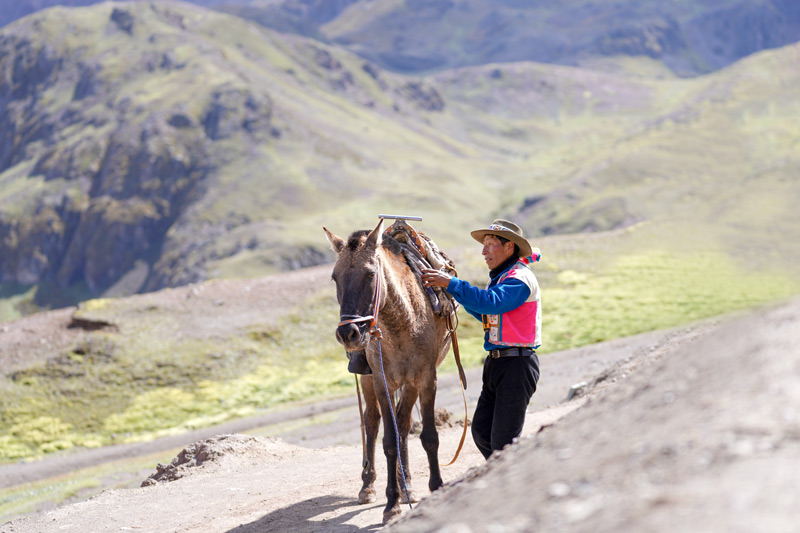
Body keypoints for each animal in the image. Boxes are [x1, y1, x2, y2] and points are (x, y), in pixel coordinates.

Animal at [323, 219, 453, 524]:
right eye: (335, 277)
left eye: (371, 274)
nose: (348, 333)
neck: (401, 323)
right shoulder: (382, 381)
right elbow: (388, 440)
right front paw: (391, 504)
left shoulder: (425, 379)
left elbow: (428, 436)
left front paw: (435, 487)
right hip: (369, 380)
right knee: (372, 422)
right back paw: (368, 486)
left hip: (409, 383)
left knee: (403, 423)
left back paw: (407, 484)